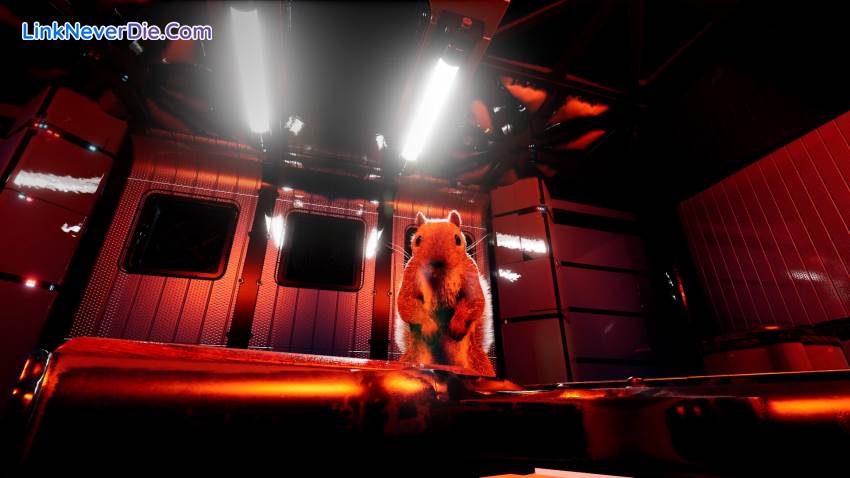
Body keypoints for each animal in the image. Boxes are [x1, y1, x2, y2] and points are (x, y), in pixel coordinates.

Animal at [396, 210, 494, 376]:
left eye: (458, 239)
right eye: (418, 239)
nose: (436, 262)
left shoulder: (470, 274)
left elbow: (474, 301)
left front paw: (457, 324)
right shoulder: (410, 276)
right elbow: (407, 302)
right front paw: (429, 327)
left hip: (479, 364)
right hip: (411, 359)